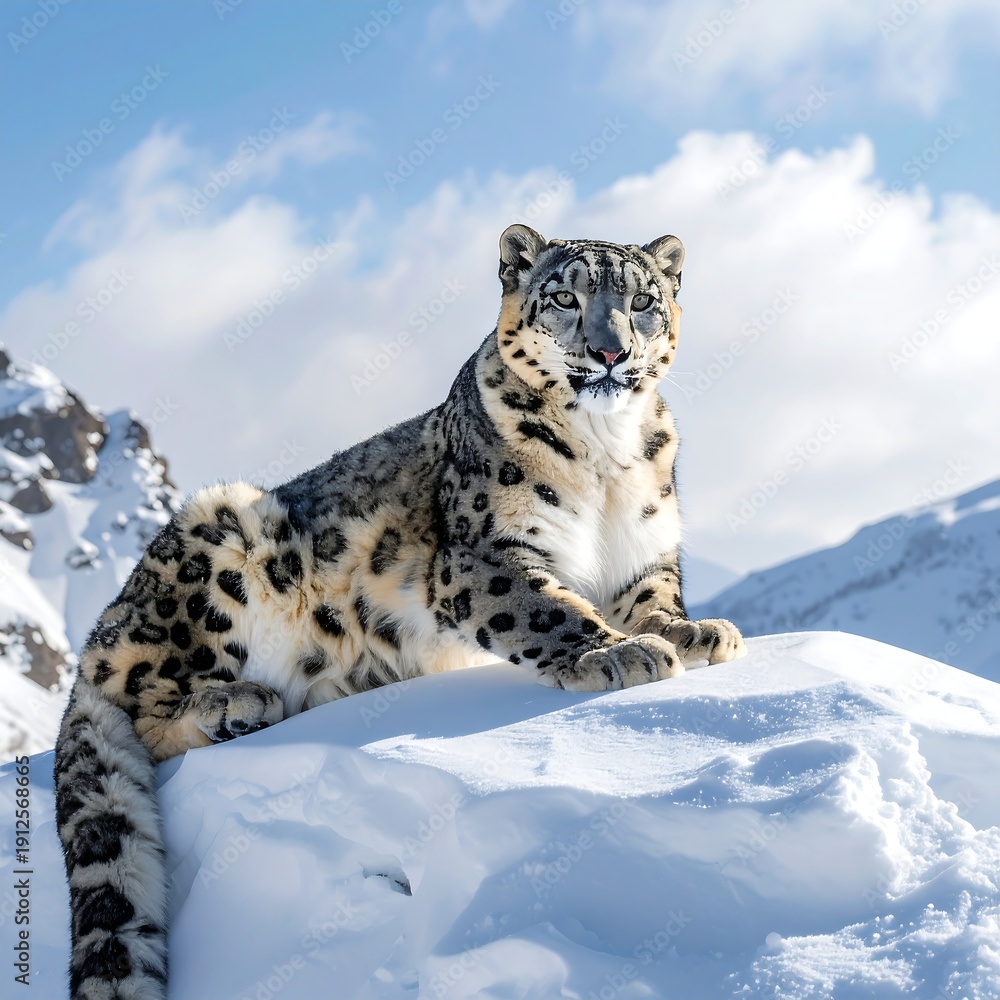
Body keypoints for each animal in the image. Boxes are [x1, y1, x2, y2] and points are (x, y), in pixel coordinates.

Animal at [54, 224, 746, 999]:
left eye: (642, 302)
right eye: (565, 297)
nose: (610, 352)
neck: (608, 455)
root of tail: (99, 635)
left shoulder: (645, 552)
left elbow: (653, 599)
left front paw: (690, 631)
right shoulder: (484, 555)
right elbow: (544, 608)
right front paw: (617, 652)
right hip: (212, 543)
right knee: (144, 702)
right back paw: (233, 705)